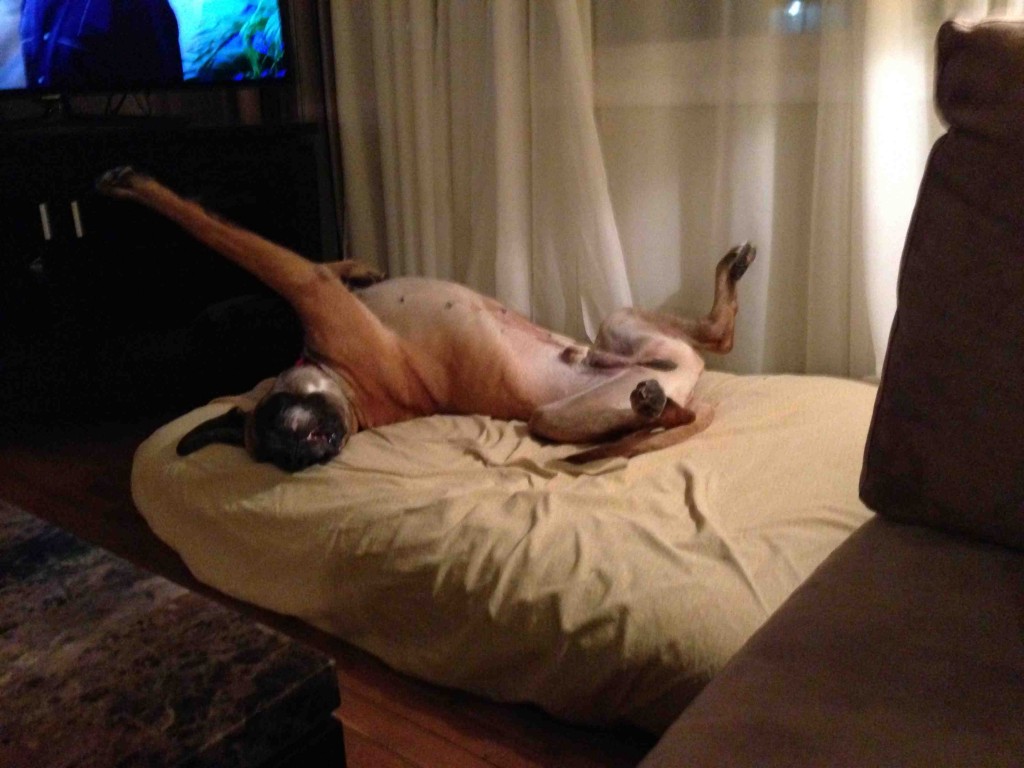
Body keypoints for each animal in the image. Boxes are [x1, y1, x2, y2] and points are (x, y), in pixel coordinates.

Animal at [96, 167, 757, 468]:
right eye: (278, 452)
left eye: (277, 422)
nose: (310, 452)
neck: (342, 385)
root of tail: (688, 379)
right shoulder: (308, 287)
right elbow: (225, 233)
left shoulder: (309, 286)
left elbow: (233, 236)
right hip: (561, 412)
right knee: (676, 402)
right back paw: (652, 401)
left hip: (620, 328)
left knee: (712, 344)